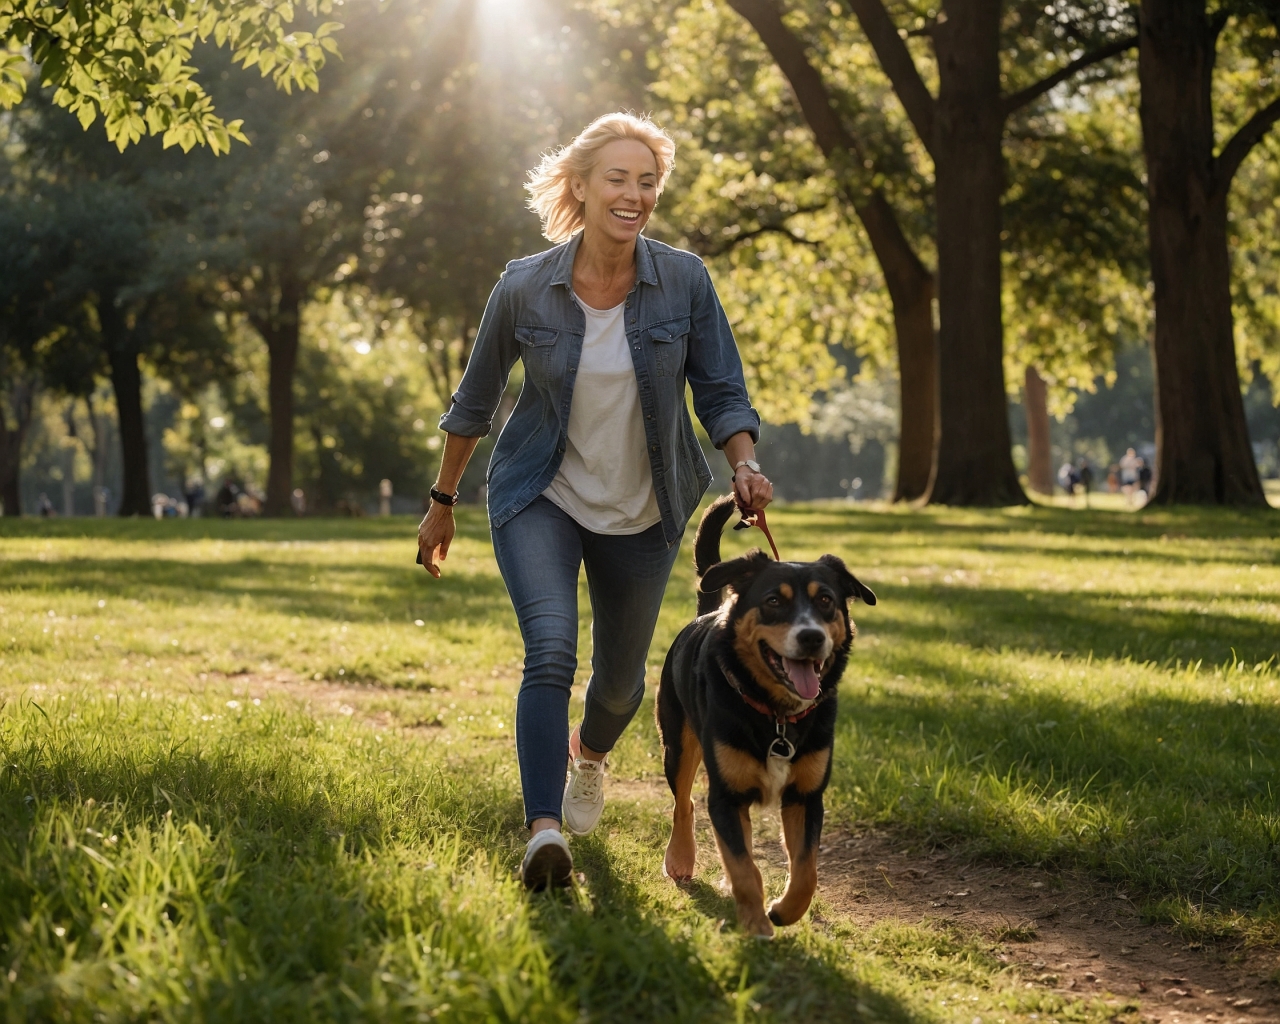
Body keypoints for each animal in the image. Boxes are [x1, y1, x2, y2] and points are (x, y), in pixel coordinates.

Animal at [655, 494, 875, 936]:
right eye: (774, 600)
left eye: (826, 600)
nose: (812, 637)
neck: (777, 715)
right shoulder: (726, 796)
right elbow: (742, 867)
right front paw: (756, 922)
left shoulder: (806, 797)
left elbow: (806, 871)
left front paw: (783, 911)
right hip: (678, 744)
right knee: (683, 803)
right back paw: (681, 857)